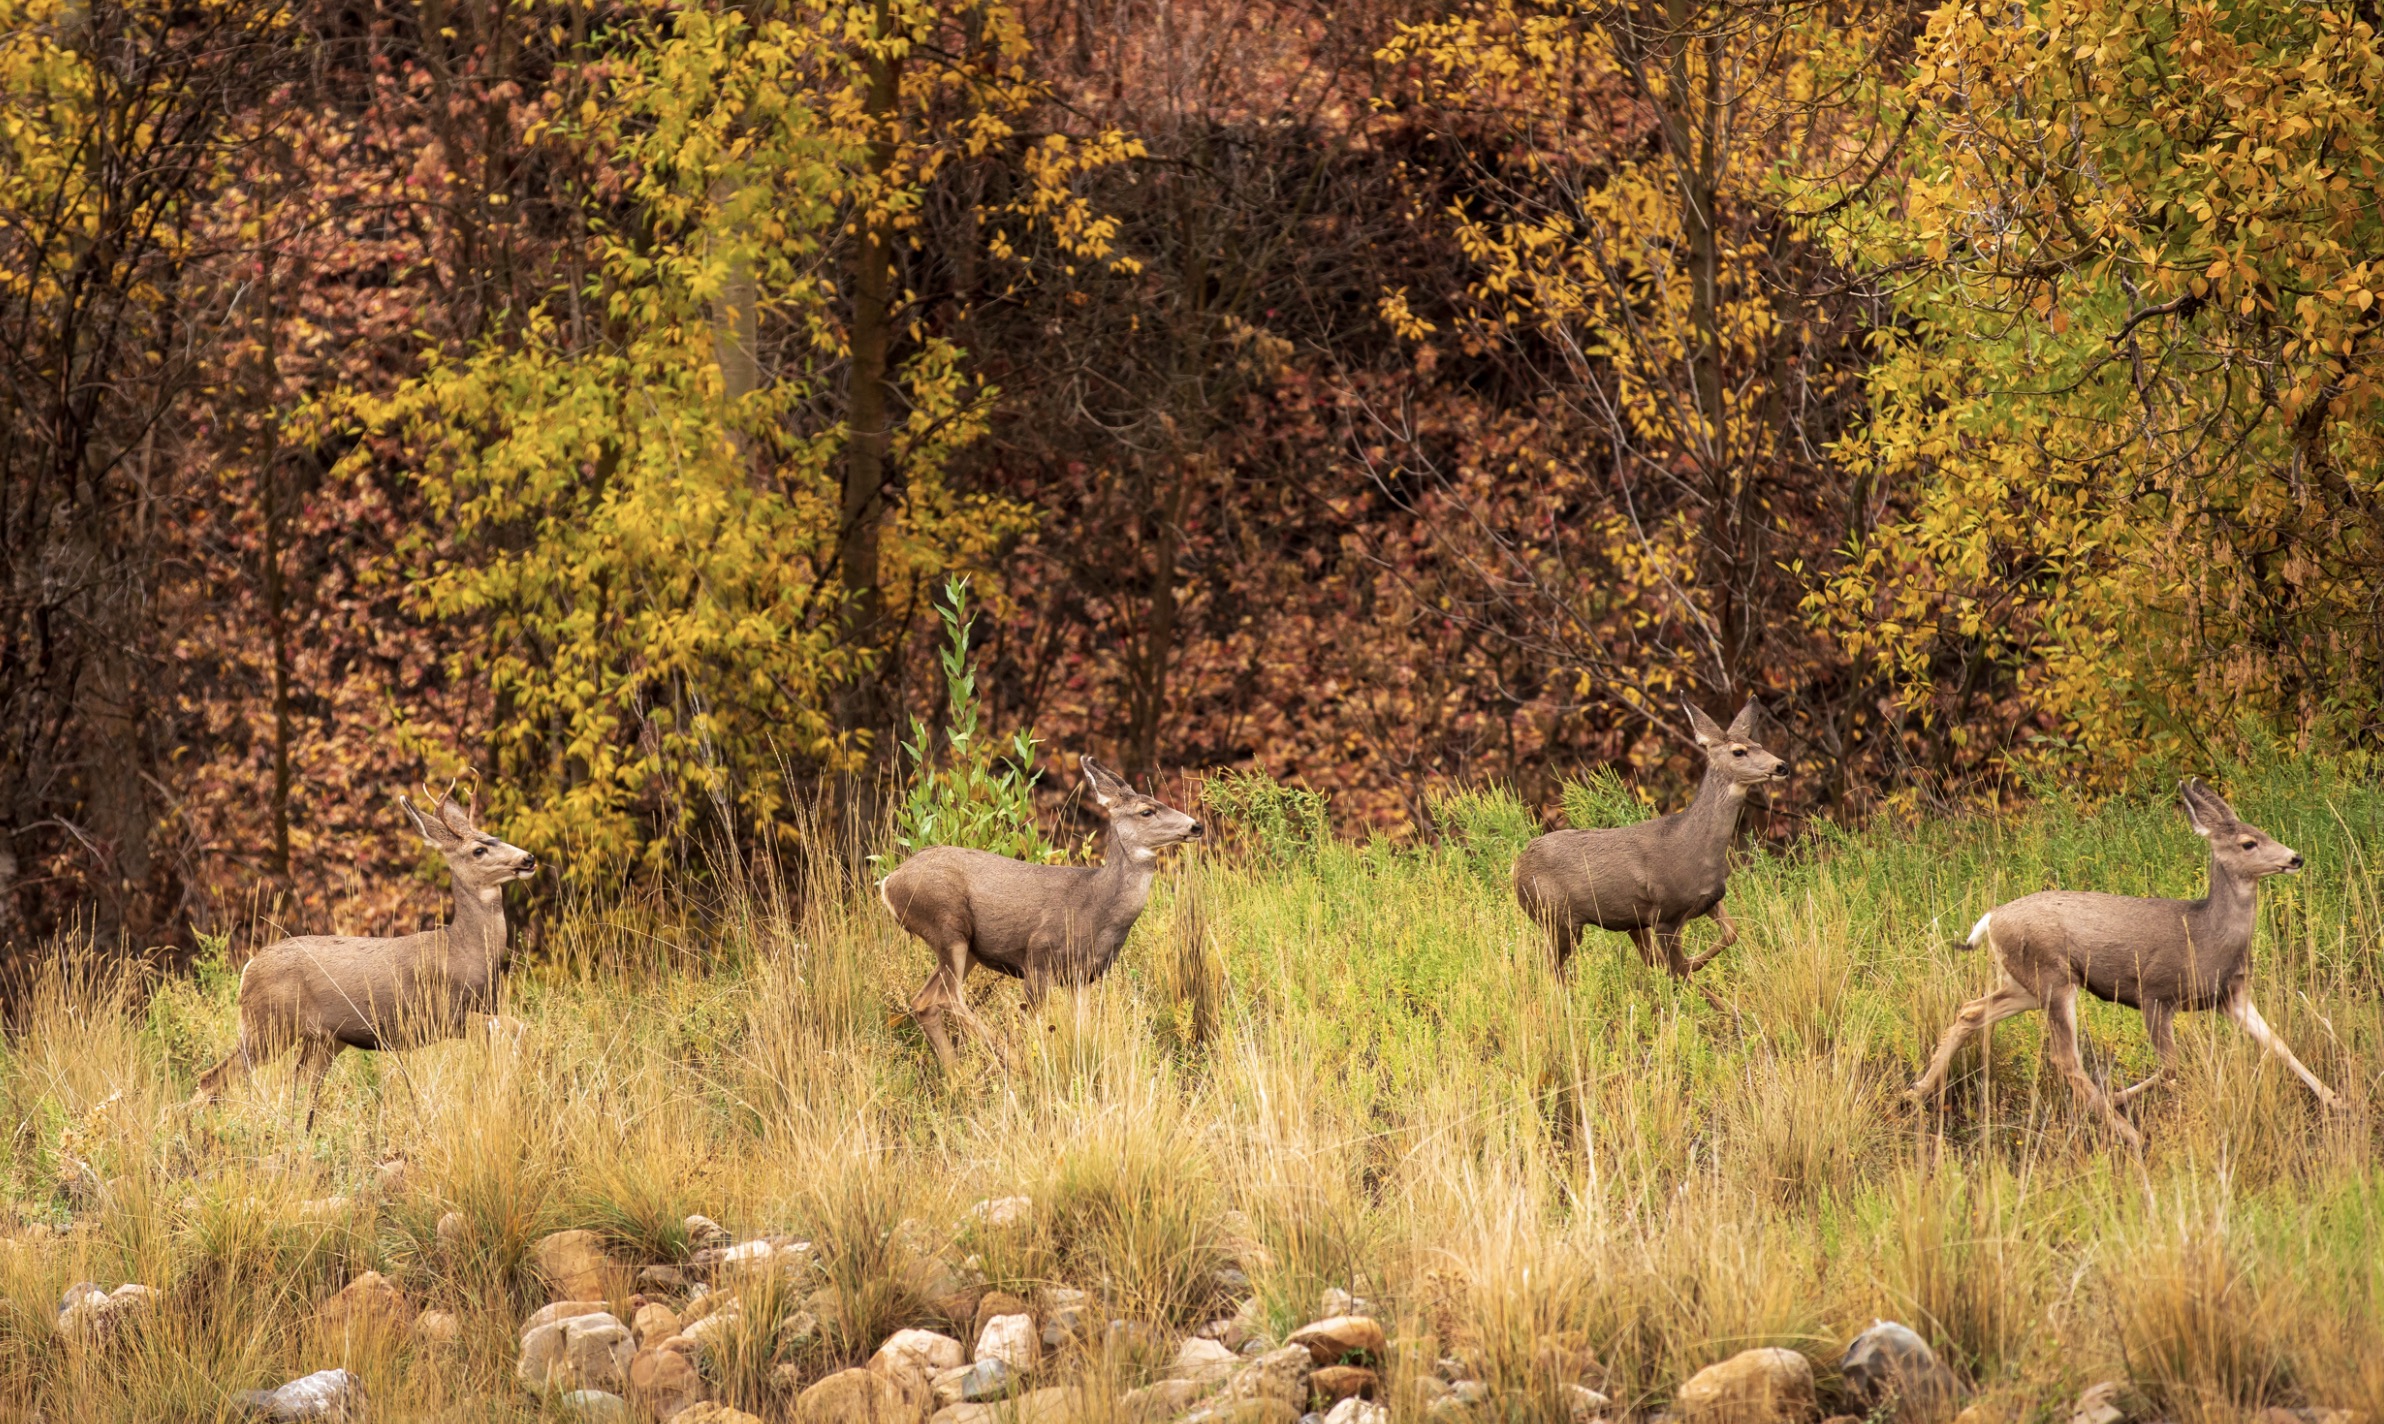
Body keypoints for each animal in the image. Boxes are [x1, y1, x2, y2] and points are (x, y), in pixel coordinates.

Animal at [191, 794, 538, 1127]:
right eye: (479, 849)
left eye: (497, 837)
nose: (528, 858)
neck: (466, 950)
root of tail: (247, 971)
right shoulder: (442, 1012)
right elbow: (519, 1026)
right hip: (268, 1026)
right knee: (211, 1079)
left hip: (322, 1039)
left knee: (299, 1091)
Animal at [880, 755, 1202, 1073]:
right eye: (1147, 811)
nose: (1196, 826)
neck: (1096, 907)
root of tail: (889, 882)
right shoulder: (1038, 958)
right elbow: (1028, 1023)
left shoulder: (1084, 976)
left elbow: (1083, 1027)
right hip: (947, 924)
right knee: (947, 996)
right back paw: (1008, 1060)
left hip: (967, 946)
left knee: (923, 1000)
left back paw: (956, 1076)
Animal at [1512, 700, 1787, 1007]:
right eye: (1738, 751)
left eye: (1758, 743)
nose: (1781, 765)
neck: (1694, 848)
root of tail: (1517, 866)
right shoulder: (1666, 913)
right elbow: (1679, 969)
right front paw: (1721, 1006)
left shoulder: (1710, 900)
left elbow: (1731, 933)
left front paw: (1702, 972)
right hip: (1556, 916)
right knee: (1552, 966)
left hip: (1624, 921)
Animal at [1908, 779, 2339, 1148]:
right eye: (2249, 843)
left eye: (2262, 831)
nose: (2295, 857)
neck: (2205, 936)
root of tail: (1991, 919)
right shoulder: (2155, 993)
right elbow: (2171, 1067)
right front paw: (2117, 1095)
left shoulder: (2231, 995)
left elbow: (2279, 1045)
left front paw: (2335, 1099)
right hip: (2053, 977)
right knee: (2065, 1058)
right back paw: (2127, 1132)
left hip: (2026, 983)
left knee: (1970, 1011)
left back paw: (1918, 1090)